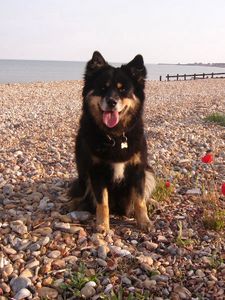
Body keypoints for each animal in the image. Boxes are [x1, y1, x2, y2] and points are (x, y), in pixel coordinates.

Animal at [68, 51, 156, 233]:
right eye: (103, 87)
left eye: (123, 90)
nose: (112, 102)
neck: (114, 136)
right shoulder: (96, 172)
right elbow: (102, 203)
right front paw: (102, 226)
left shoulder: (138, 170)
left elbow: (139, 200)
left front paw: (144, 221)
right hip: (83, 177)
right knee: (80, 193)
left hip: (149, 172)